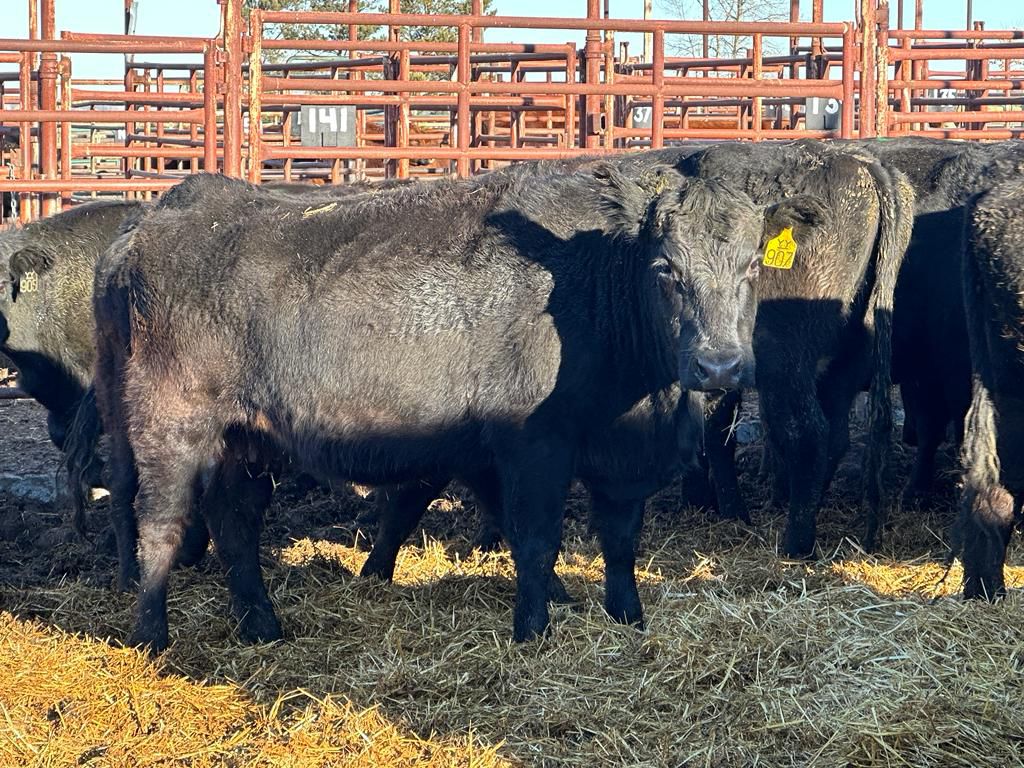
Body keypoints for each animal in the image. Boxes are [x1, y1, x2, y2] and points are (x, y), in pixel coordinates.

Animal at [91, 165, 822, 652]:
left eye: (753, 265)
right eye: (667, 268)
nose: (720, 366)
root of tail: (151, 219)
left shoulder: (617, 453)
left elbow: (619, 539)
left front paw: (627, 617)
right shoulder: (534, 445)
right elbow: (536, 539)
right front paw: (533, 631)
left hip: (243, 436)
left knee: (236, 521)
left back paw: (262, 625)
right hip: (169, 424)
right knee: (161, 523)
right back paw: (152, 637)